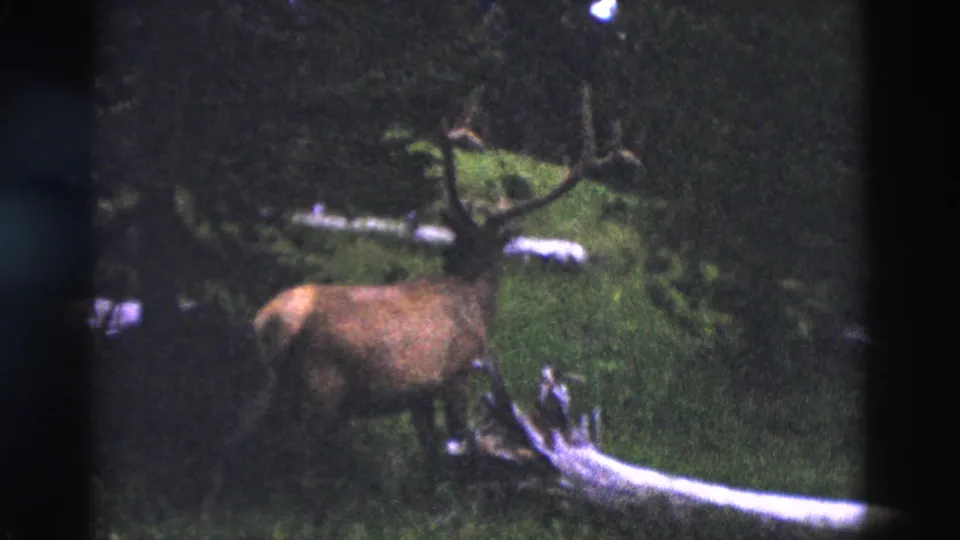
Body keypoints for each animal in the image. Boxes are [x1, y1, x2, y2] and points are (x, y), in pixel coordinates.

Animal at [201, 82, 618, 518]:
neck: (476, 300)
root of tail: (274, 321)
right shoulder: (457, 373)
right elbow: (458, 440)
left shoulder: (419, 392)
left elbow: (430, 447)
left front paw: (430, 496)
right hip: (323, 383)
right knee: (302, 457)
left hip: (265, 379)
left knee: (232, 435)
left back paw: (209, 508)